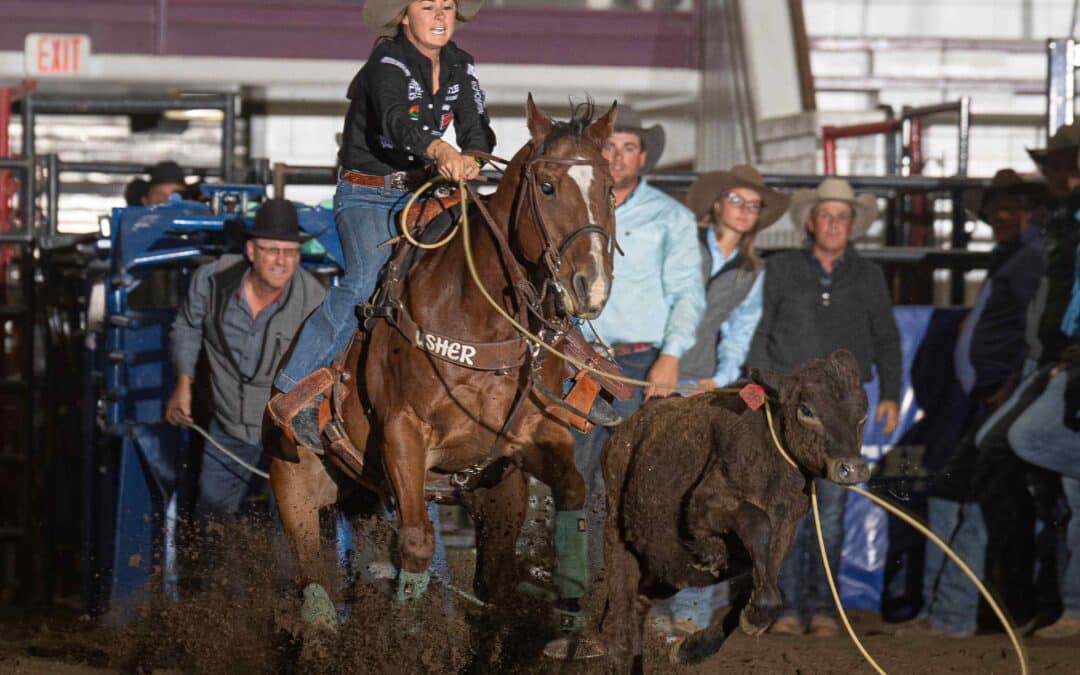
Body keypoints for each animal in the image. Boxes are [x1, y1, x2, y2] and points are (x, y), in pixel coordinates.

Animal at [267, 97, 617, 630]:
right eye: (547, 186)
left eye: (611, 189)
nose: (591, 287)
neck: (477, 318)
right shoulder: (402, 434)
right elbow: (415, 544)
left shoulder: (532, 438)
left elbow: (573, 492)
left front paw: (572, 607)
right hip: (297, 489)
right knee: (313, 582)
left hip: (490, 496)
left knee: (492, 576)